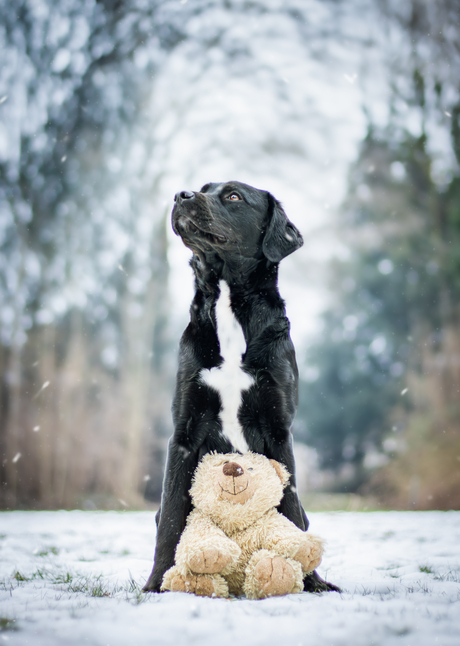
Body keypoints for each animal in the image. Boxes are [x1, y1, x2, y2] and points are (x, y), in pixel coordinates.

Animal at [144, 180, 338, 596]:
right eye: (204, 188)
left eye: (233, 196)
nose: (181, 195)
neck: (229, 305)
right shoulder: (183, 432)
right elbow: (171, 519)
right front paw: (157, 583)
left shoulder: (280, 429)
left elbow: (290, 511)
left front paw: (310, 582)